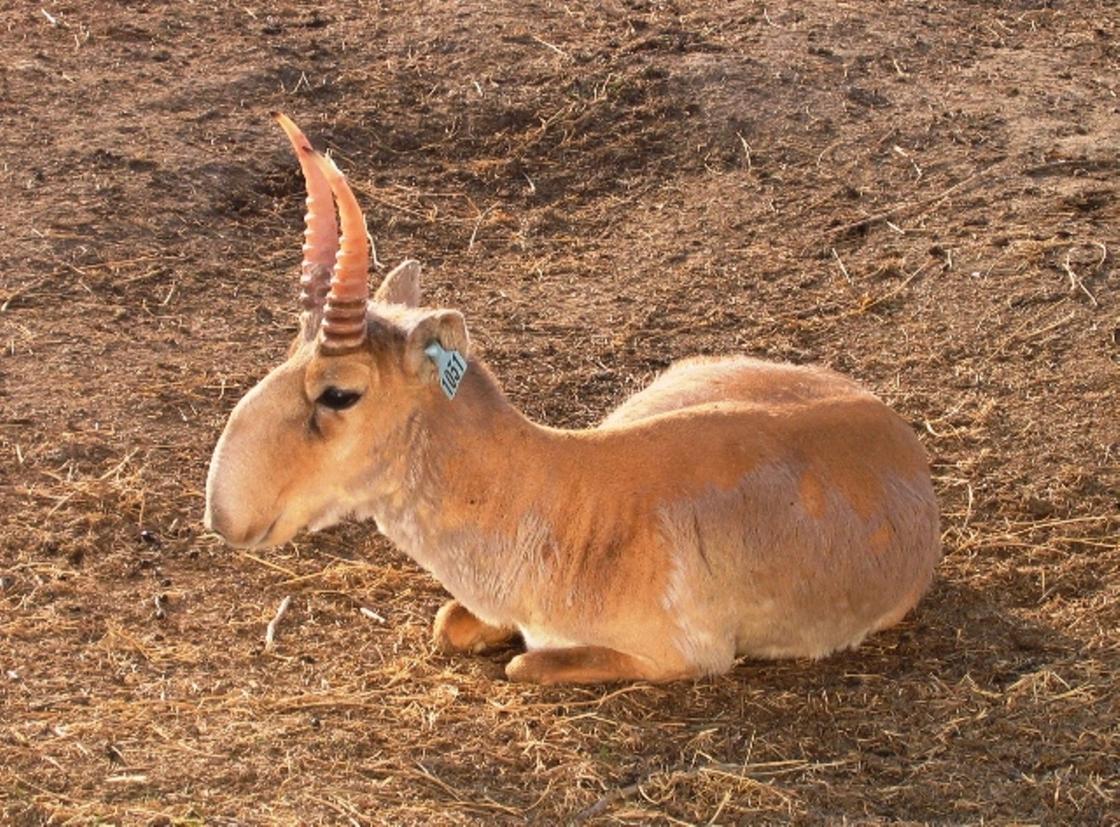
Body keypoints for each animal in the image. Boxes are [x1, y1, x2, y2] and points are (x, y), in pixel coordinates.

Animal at [206, 115, 940, 681]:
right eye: (289, 349)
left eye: (340, 391)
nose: (225, 514)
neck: (563, 495)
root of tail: (896, 433)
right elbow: (450, 621)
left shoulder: (682, 658)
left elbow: (522, 662)